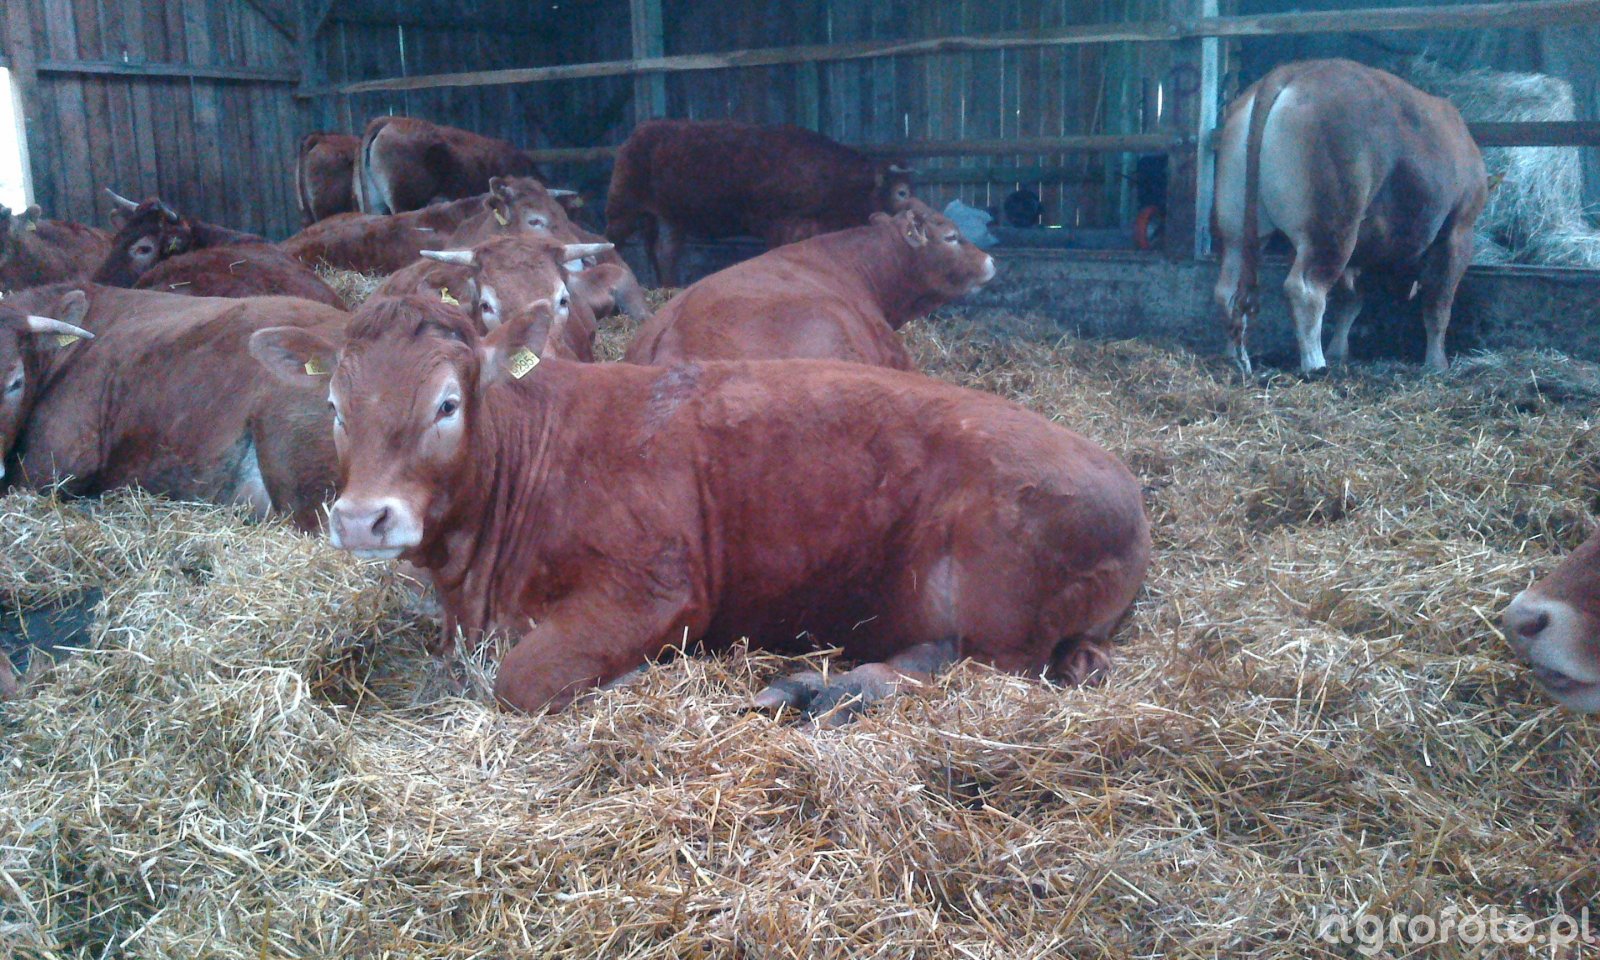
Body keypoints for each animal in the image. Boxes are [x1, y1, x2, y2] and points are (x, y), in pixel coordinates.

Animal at [250, 295, 1151, 720]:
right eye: (334, 406)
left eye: (446, 404)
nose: (363, 518)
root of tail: (1125, 484)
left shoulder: (659, 587)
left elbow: (520, 679)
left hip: (1000, 593)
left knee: (977, 666)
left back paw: (819, 691)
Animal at [605, 119, 917, 287]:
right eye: (902, 192)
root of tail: (641, 131)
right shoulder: (782, 226)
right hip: (623, 209)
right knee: (610, 241)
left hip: (670, 219)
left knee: (665, 252)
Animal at [1212, 59, 1486, 375]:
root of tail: (1292, 71)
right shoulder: (1458, 229)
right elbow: (1439, 303)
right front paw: (1437, 362)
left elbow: (1350, 300)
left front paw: (1339, 350)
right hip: (1332, 226)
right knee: (1305, 289)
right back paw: (1315, 364)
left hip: (1237, 226)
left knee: (1227, 290)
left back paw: (1236, 358)